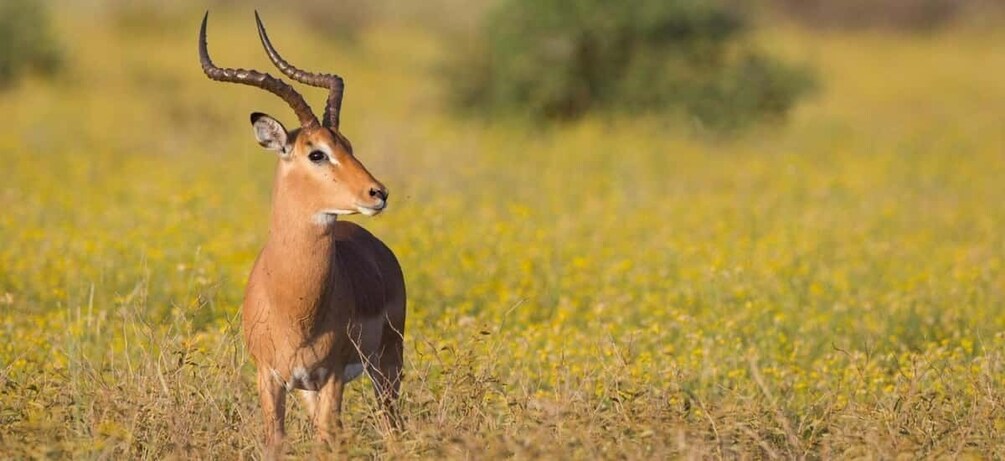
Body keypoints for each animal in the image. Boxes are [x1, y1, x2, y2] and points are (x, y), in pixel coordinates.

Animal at [198, 12, 406, 455]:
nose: (377, 193)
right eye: (317, 153)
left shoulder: (331, 376)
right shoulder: (270, 378)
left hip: (387, 364)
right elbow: (276, 442)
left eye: (348, 145)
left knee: (390, 426)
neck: (292, 303)